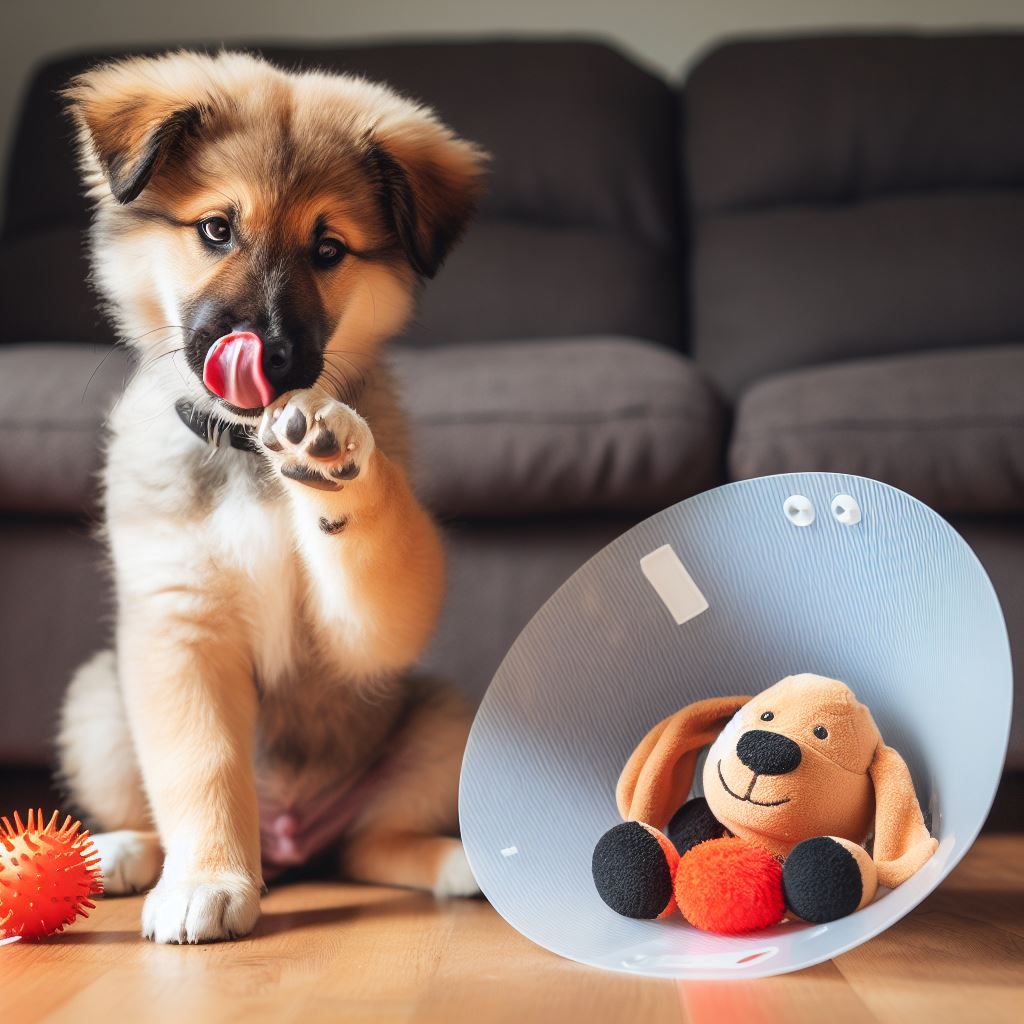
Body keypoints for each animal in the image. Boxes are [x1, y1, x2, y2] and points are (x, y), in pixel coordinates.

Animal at [56, 49, 487, 942]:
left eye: (328, 248)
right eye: (216, 229)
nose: (270, 349)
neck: (246, 454)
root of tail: (289, 842)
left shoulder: (362, 634)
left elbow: (376, 556)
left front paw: (333, 455)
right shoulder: (178, 623)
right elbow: (201, 765)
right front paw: (209, 880)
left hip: (444, 716)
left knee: (368, 842)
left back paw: (451, 860)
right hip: (98, 700)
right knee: (160, 810)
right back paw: (122, 854)